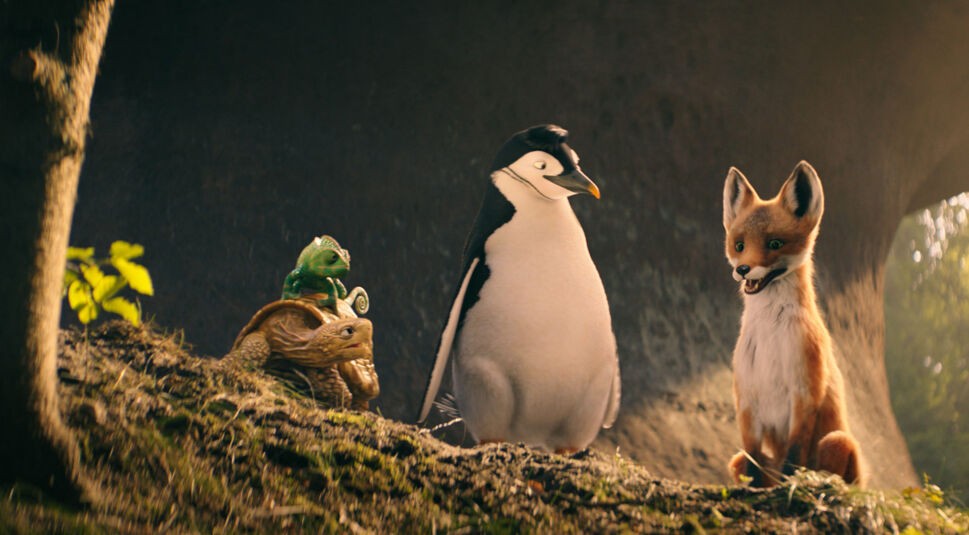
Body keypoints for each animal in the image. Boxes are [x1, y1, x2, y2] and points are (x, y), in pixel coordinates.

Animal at [721, 160, 862, 487]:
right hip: (735, 459)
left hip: (837, 442)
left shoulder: (805, 391)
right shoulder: (746, 399)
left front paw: (790, 485)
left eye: (775, 243)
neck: (771, 336)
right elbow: (752, 460)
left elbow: (793, 455)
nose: (742, 269)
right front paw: (754, 490)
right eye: (739, 245)